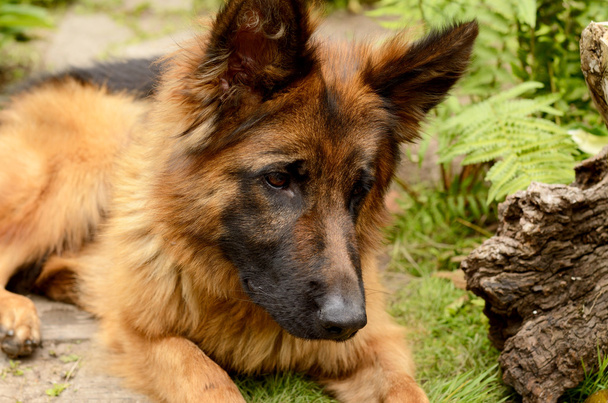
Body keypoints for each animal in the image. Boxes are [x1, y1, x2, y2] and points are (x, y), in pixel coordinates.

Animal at [0, 0, 476, 400]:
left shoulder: (378, 344)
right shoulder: (144, 334)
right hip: (86, 163)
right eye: (279, 179)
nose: (347, 323)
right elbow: (206, 377)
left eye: (359, 190)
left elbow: (408, 390)